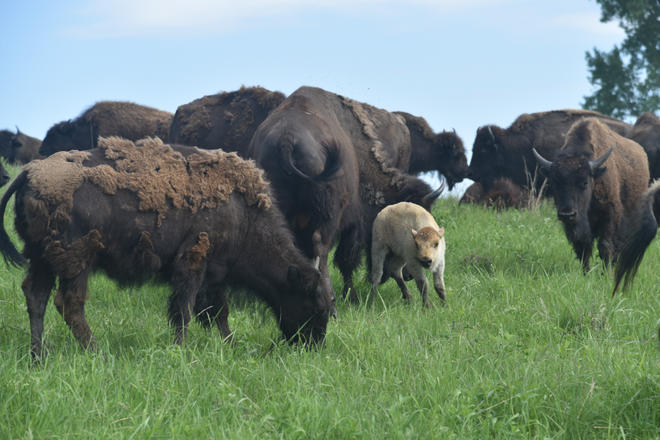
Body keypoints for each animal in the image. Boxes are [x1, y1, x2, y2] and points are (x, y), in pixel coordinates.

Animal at [0, 137, 331, 358]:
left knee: (36, 297)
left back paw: (38, 357)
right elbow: (184, 311)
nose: (314, 347)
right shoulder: (194, 262)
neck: (242, 212)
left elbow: (219, 313)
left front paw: (231, 346)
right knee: (69, 304)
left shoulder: (215, 273)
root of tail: (30, 172)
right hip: (77, 260)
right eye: (315, 308)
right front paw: (179, 351)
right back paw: (99, 353)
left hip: (42, 258)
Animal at [247, 86, 444, 307]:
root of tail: (286, 140)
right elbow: (346, 260)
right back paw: (330, 296)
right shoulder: (354, 224)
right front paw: (352, 296)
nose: (410, 273)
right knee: (321, 246)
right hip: (330, 214)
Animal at [532, 118, 649, 272]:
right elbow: (583, 248)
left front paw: (606, 274)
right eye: (554, 183)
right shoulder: (580, 225)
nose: (567, 214)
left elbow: (605, 246)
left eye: (585, 182)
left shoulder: (610, 217)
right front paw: (585, 273)